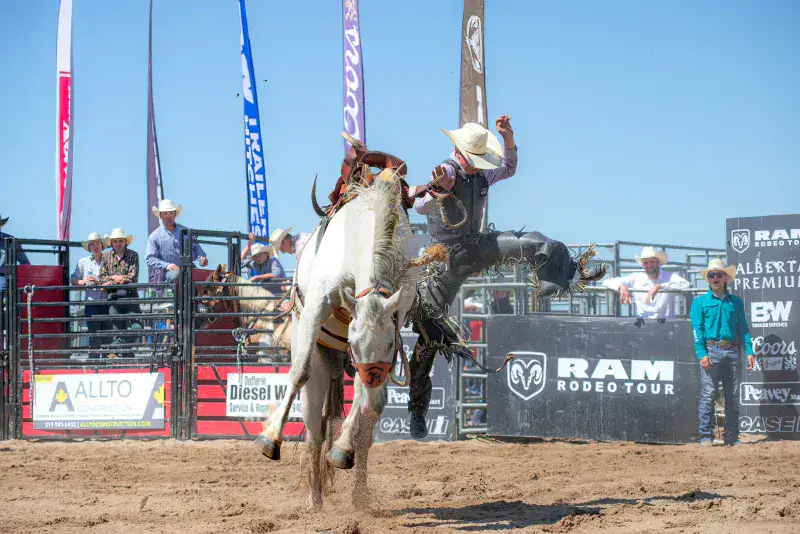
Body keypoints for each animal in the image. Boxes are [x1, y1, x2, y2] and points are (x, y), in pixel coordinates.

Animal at [256, 174, 426, 509]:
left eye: (391, 346)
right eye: (354, 343)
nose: (375, 400)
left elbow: (360, 394)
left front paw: (342, 449)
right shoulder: (316, 304)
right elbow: (299, 371)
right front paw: (270, 438)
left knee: (362, 436)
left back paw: (357, 494)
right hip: (318, 367)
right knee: (315, 431)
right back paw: (315, 499)